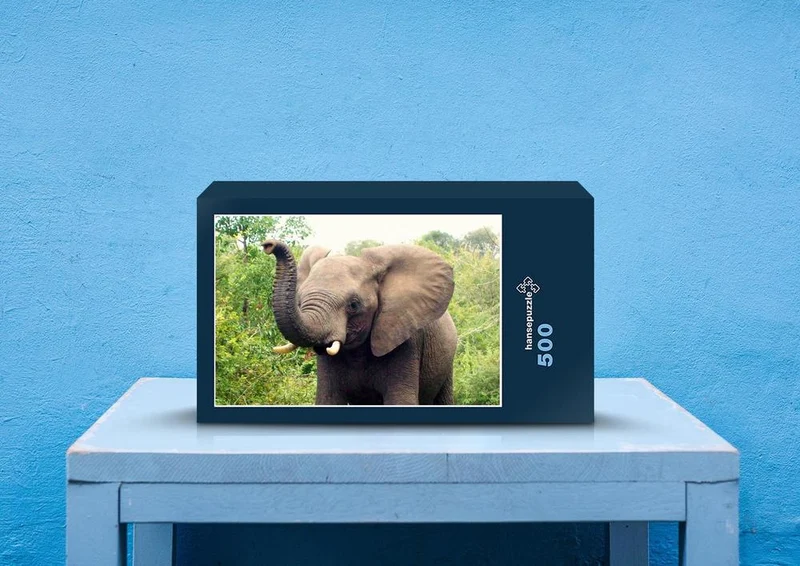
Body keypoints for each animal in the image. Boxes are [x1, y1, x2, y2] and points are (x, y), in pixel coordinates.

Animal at [261, 239, 458, 405]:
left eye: (354, 305)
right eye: (300, 301)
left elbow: (401, 400)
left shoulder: (407, 342)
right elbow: (328, 399)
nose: (268, 245)